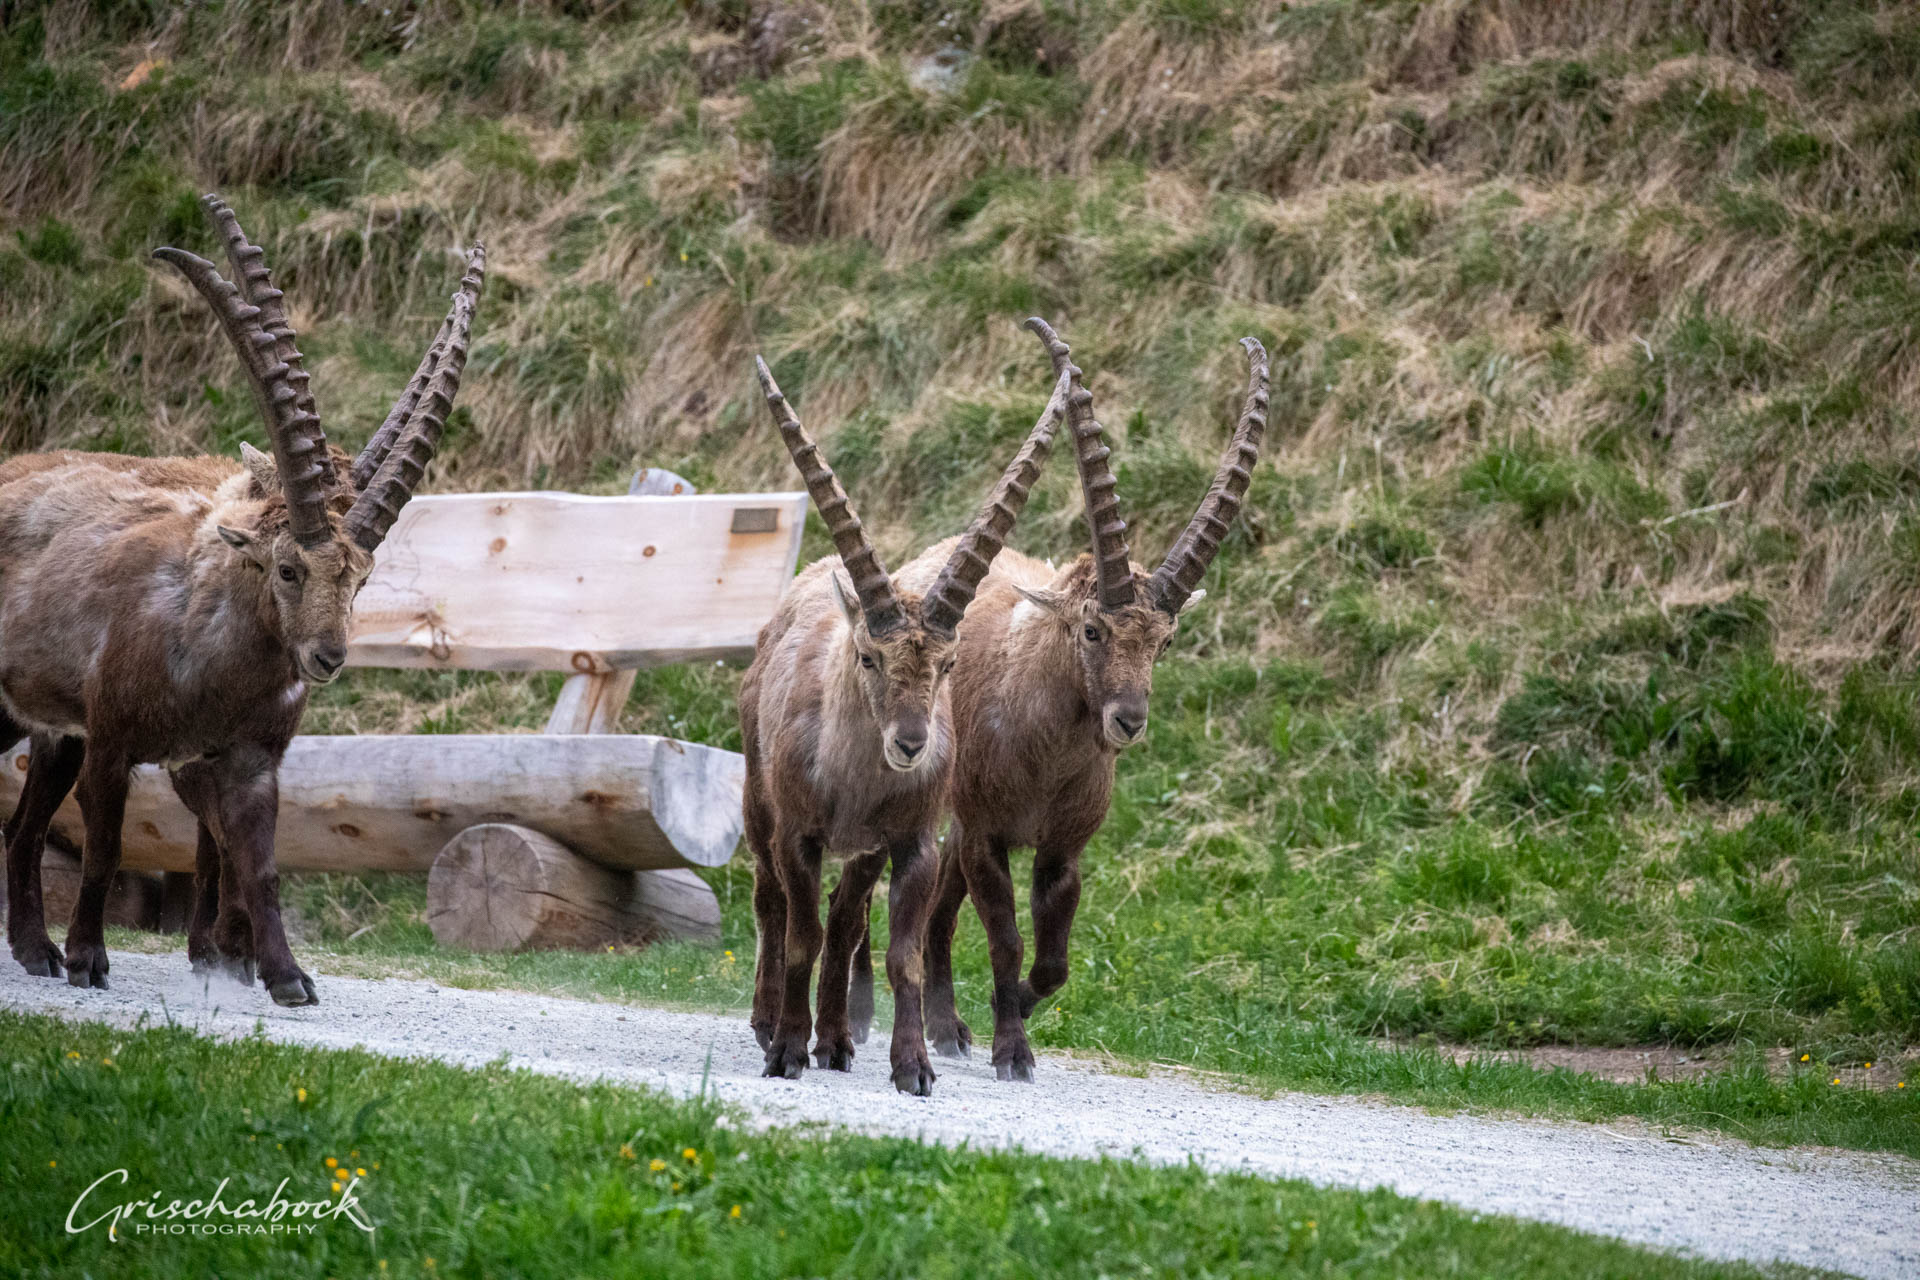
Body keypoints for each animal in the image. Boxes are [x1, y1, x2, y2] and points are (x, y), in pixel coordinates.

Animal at [0, 193, 483, 1004]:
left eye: (360, 577)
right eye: (286, 568)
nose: (327, 657)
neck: (211, 662)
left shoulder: (246, 760)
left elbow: (258, 861)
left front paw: (286, 977)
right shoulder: (114, 740)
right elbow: (104, 850)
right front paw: (92, 958)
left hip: (46, 730)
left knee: (24, 827)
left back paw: (36, 951)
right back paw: (58, 953)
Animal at [740, 355, 1069, 1095]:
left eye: (948, 663)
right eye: (869, 656)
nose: (911, 745)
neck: (852, 781)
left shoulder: (913, 841)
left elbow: (902, 954)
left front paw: (914, 1065)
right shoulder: (799, 834)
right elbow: (800, 935)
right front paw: (786, 1053)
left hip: (864, 852)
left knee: (846, 919)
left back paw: (836, 1040)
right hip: (756, 802)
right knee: (772, 904)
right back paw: (770, 1024)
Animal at [895, 319, 1268, 1082]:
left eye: (1163, 642)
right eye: (1092, 629)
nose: (1128, 720)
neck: (1044, 755)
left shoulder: (1063, 847)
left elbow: (1055, 961)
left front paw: (1016, 1010)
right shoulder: (988, 835)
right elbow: (1007, 941)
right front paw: (1013, 1050)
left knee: (943, 903)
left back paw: (950, 1027)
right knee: (938, 903)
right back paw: (942, 1027)